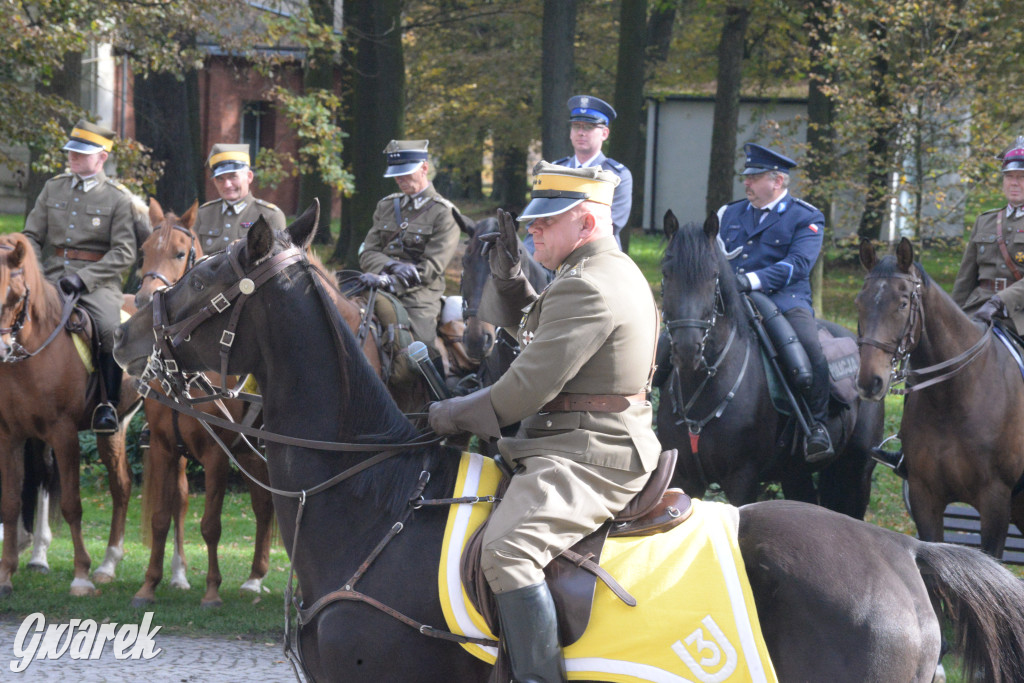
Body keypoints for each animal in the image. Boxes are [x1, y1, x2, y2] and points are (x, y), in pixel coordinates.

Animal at [0, 233, 137, 593]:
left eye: (15, 296)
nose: (1, 349)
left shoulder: (63, 434)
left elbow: (72, 505)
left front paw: (81, 576)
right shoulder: (11, 436)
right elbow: (11, 502)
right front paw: (6, 574)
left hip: (116, 428)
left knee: (122, 486)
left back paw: (108, 564)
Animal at [128, 198, 276, 610]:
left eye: (181, 253)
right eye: (144, 251)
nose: (143, 300)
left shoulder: (215, 454)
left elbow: (210, 524)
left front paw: (212, 589)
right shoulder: (165, 447)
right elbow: (161, 517)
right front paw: (149, 584)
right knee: (262, 503)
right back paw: (253, 578)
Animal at [659, 214, 884, 518]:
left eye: (713, 275)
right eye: (666, 272)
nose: (686, 348)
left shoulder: (742, 479)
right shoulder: (685, 477)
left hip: (858, 471)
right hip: (796, 473)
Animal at [856, 237, 1024, 557]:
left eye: (903, 303)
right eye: (860, 302)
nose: (870, 382)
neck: (953, 400)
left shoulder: (996, 501)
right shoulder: (925, 496)